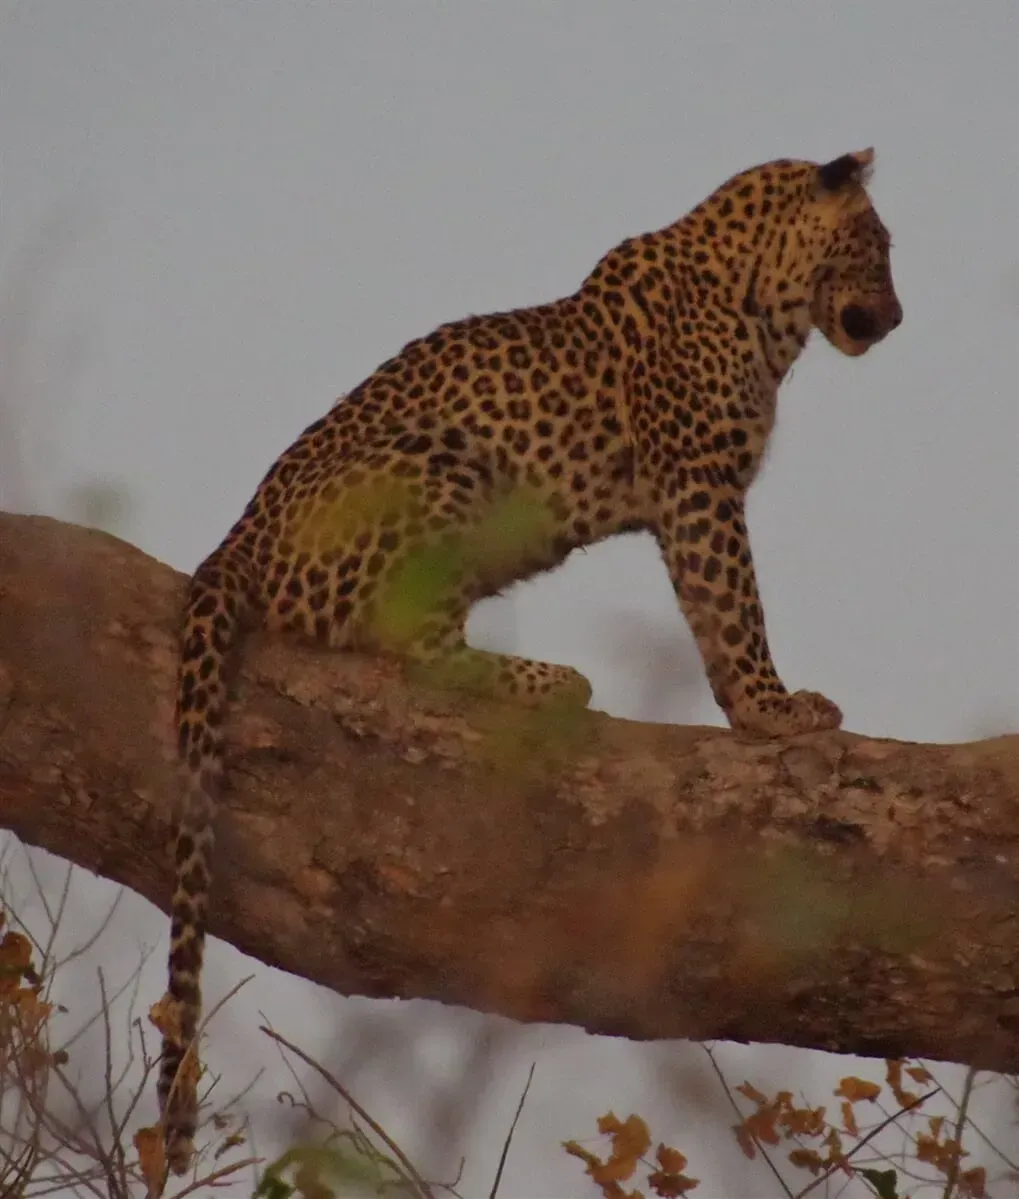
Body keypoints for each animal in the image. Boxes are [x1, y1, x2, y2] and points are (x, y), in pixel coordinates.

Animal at [157, 147, 902, 1172]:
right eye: (877, 245)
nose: (897, 317)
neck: (761, 303)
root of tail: (235, 542)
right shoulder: (698, 485)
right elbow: (733, 603)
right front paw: (771, 708)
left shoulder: (689, 495)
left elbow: (714, 610)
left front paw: (754, 708)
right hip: (437, 462)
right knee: (410, 643)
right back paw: (552, 681)